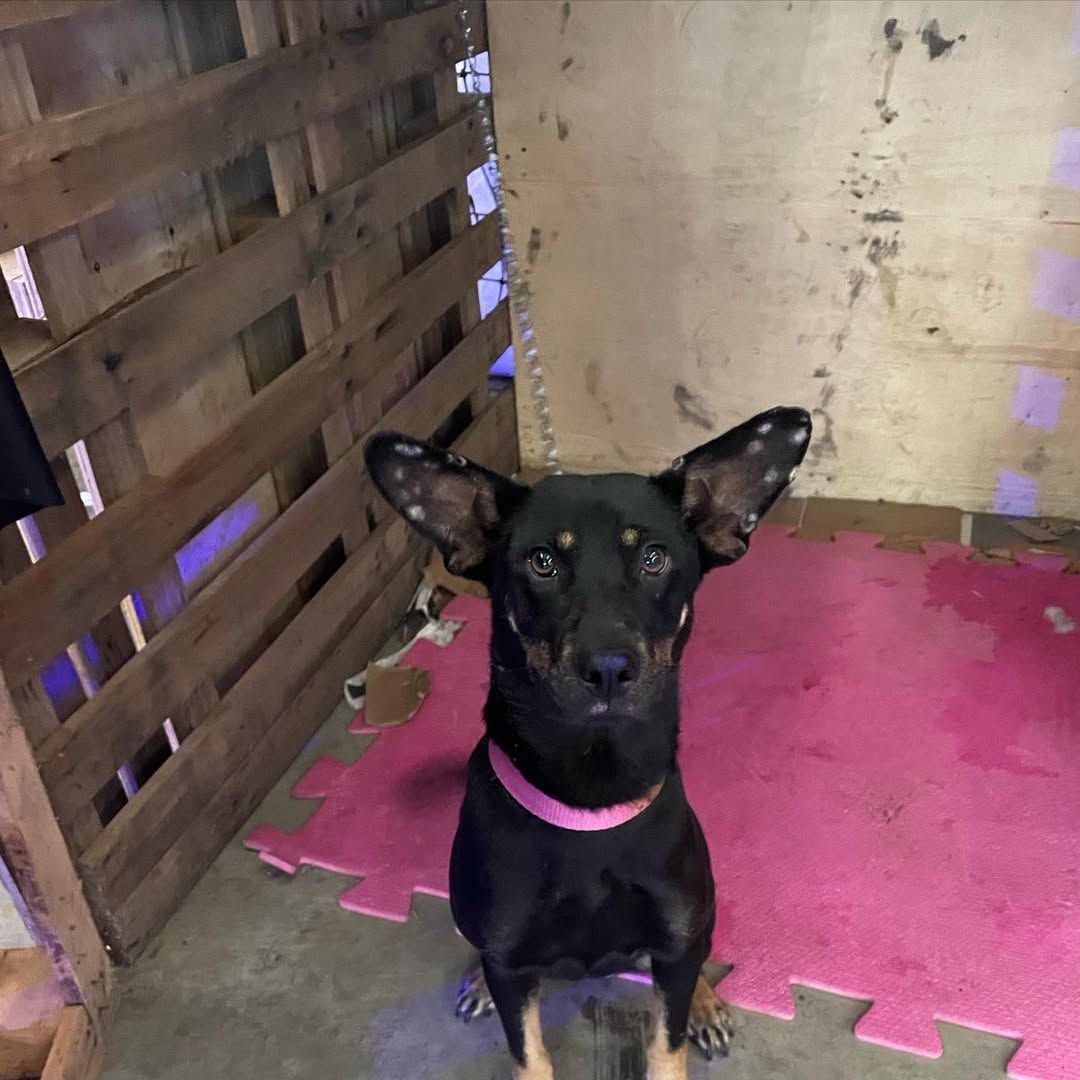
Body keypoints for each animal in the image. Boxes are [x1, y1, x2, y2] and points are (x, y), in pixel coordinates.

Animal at [364, 405, 812, 1079]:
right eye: (542, 561)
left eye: (653, 558)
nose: (607, 668)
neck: (591, 794)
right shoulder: (512, 958)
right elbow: (530, 1054)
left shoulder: (674, 942)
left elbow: (667, 1045)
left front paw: (693, 1014)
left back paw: (707, 1003)